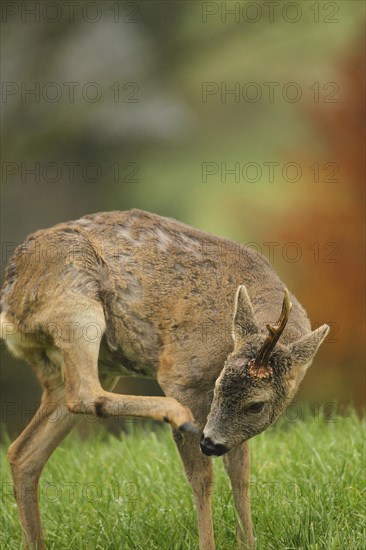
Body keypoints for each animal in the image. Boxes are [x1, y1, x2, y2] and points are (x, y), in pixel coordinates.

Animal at [0, 211, 328, 550]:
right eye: (217, 386)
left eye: (256, 405)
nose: (209, 443)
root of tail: (9, 303)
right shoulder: (182, 375)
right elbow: (202, 478)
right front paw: (208, 545)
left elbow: (241, 473)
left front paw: (248, 543)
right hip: (76, 301)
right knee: (83, 394)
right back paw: (175, 414)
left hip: (73, 366)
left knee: (23, 453)